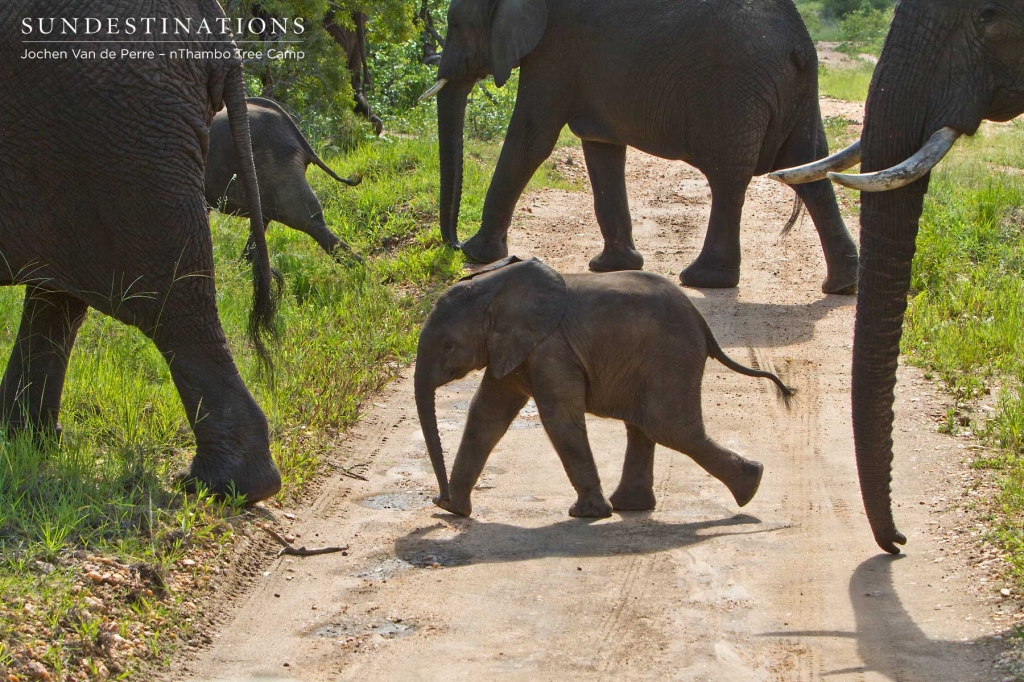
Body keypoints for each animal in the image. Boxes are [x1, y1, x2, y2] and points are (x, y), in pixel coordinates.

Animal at [413, 254, 790, 516]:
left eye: (447, 346)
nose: (438, 496)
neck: (495, 285)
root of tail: (703, 322)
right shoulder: (512, 350)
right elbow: (485, 415)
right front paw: (453, 510)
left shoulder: (550, 349)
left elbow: (558, 418)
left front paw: (586, 515)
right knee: (645, 427)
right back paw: (633, 506)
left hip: (671, 356)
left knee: (670, 428)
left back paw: (751, 487)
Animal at [423, 0, 864, 292]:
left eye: (456, 23)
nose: (453, 242)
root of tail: (799, 45)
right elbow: (601, 149)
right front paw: (612, 267)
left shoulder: (555, 50)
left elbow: (531, 138)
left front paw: (479, 255)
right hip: (798, 93)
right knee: (812, 169)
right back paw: (840, 285)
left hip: (736, 93)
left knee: (729, 178)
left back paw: (703, 279)